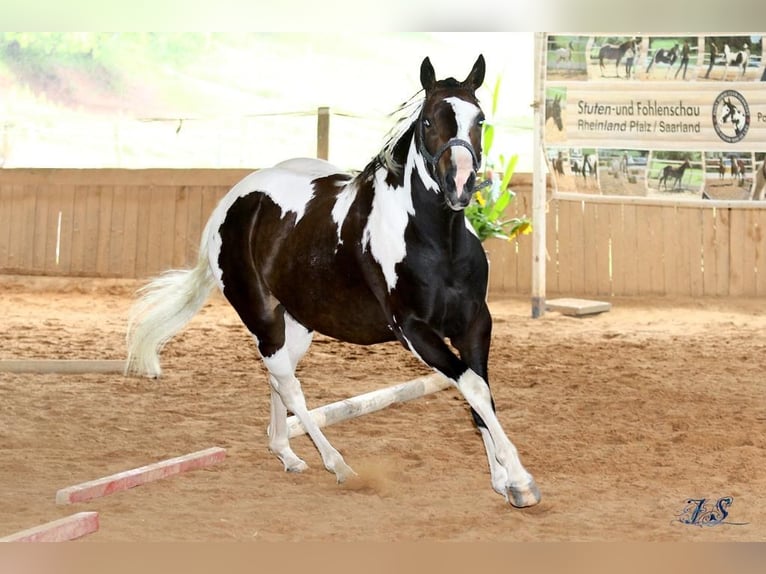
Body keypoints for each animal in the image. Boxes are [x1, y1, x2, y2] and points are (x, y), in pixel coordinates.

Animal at [126, 56, 544, 510]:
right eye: (428, 120)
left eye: (479, 119)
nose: (460, 186)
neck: (436, 240)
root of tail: (232, 201)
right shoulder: (414, 330)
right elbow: (472, 386)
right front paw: (520, 480)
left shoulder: (474, 324)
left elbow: (480, 393)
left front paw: (503, 480)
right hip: (263, 318)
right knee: (289, 386)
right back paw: (338, 465)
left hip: (299, 322)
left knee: (279, 378)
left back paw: (288, 454)